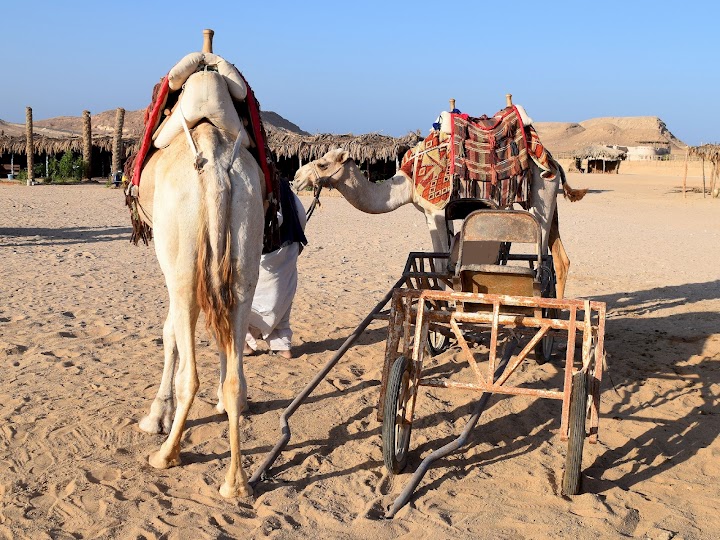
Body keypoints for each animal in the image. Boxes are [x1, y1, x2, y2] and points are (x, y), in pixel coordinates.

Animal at [132, 54, 264, 498]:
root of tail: (216, 164)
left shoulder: (171, 267)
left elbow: (168, 332)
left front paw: (155, 416)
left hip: (184, 266)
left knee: (190, 374)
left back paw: (166, 454)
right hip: (244, 262)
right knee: (233, 369)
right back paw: (236, 482)